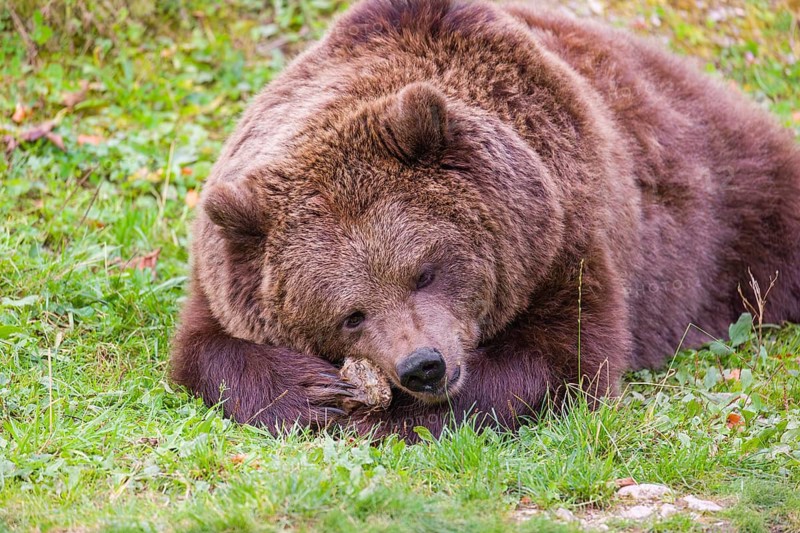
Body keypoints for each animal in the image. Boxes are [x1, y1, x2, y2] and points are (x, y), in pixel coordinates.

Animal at [170, 0, 800, 440]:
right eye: (351, 314)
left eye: (424, 272)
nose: (424, 366)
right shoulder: (225, 269)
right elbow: (203, 350)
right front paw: (313, 392)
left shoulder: (569, 237)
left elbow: (560, 358)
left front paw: (397, 417)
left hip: (726, 206)